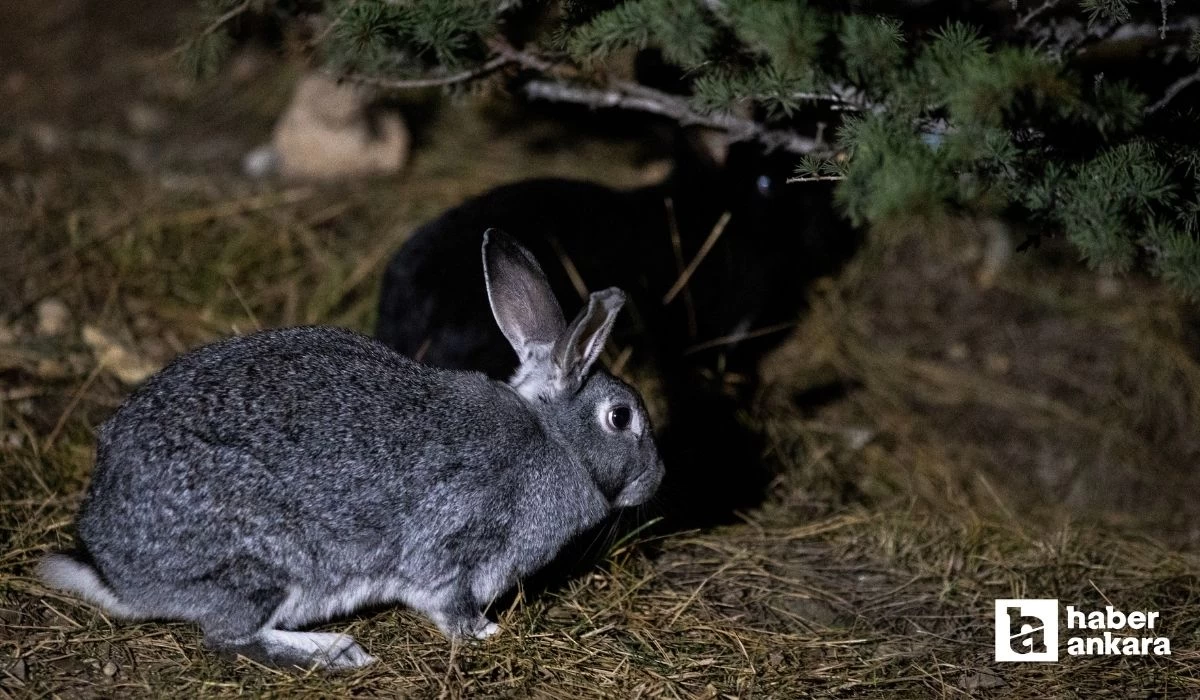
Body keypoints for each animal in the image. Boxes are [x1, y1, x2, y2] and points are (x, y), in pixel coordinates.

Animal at [39, 228, 667, 667]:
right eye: (621, 417)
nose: (658, 478)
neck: (552, 436)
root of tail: (115, 569)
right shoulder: (452, 548)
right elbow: (447, 601)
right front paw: (485, 632)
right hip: (262, 563)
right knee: (230, 636)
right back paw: (336, 652)